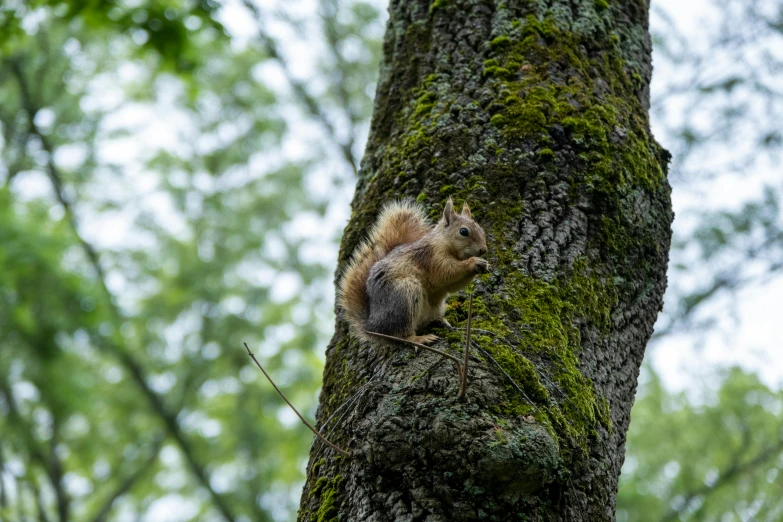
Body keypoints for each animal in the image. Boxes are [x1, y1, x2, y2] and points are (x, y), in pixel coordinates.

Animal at [338, 197, 486, 344]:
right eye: (464, 231)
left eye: (482, 230)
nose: (483, 250)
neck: (442, 242)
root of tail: (373, 327)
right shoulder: (431, 257)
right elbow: (446, 272)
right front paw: (473, 262)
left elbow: (452, 285)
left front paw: (483, 265)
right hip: (404, 294)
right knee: (401, 335)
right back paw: (419, 338)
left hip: (434, 306)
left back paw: (441, 321)